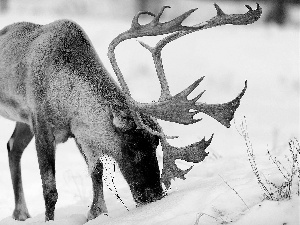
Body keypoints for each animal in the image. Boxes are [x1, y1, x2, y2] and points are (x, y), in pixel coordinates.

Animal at [0, 3, 262, 221]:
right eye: (133, 144)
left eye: (155, 144)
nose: (154, 195)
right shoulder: (41, 123)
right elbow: (50, 189)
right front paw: (50, 220)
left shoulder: (79, 132)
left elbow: (96, 172)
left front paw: (96, 212)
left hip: (23, 122)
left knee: (12, 146)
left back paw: (21, 213)